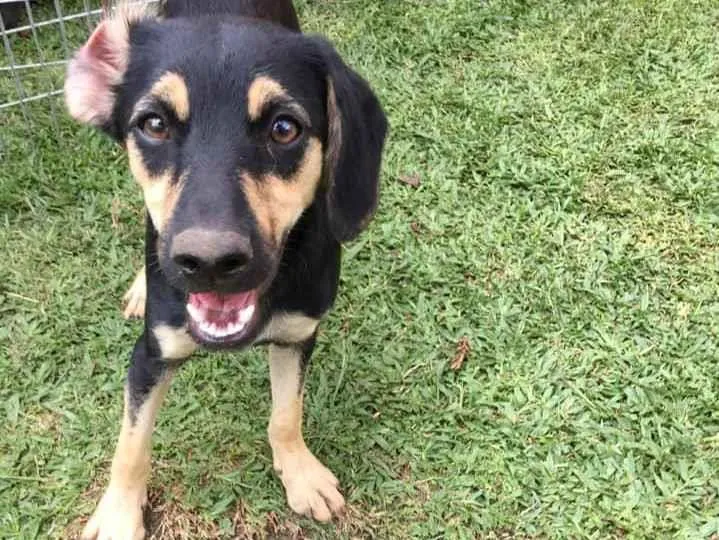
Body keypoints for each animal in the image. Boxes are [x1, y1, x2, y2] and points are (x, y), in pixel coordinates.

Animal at [64, 1, 387, 537]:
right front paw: (118, 515)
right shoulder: (152, 353)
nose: (210, 262)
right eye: (154, 124)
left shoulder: (299, 336)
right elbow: (131, 444)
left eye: (284, 128)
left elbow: (287, 414)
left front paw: (299, 473)